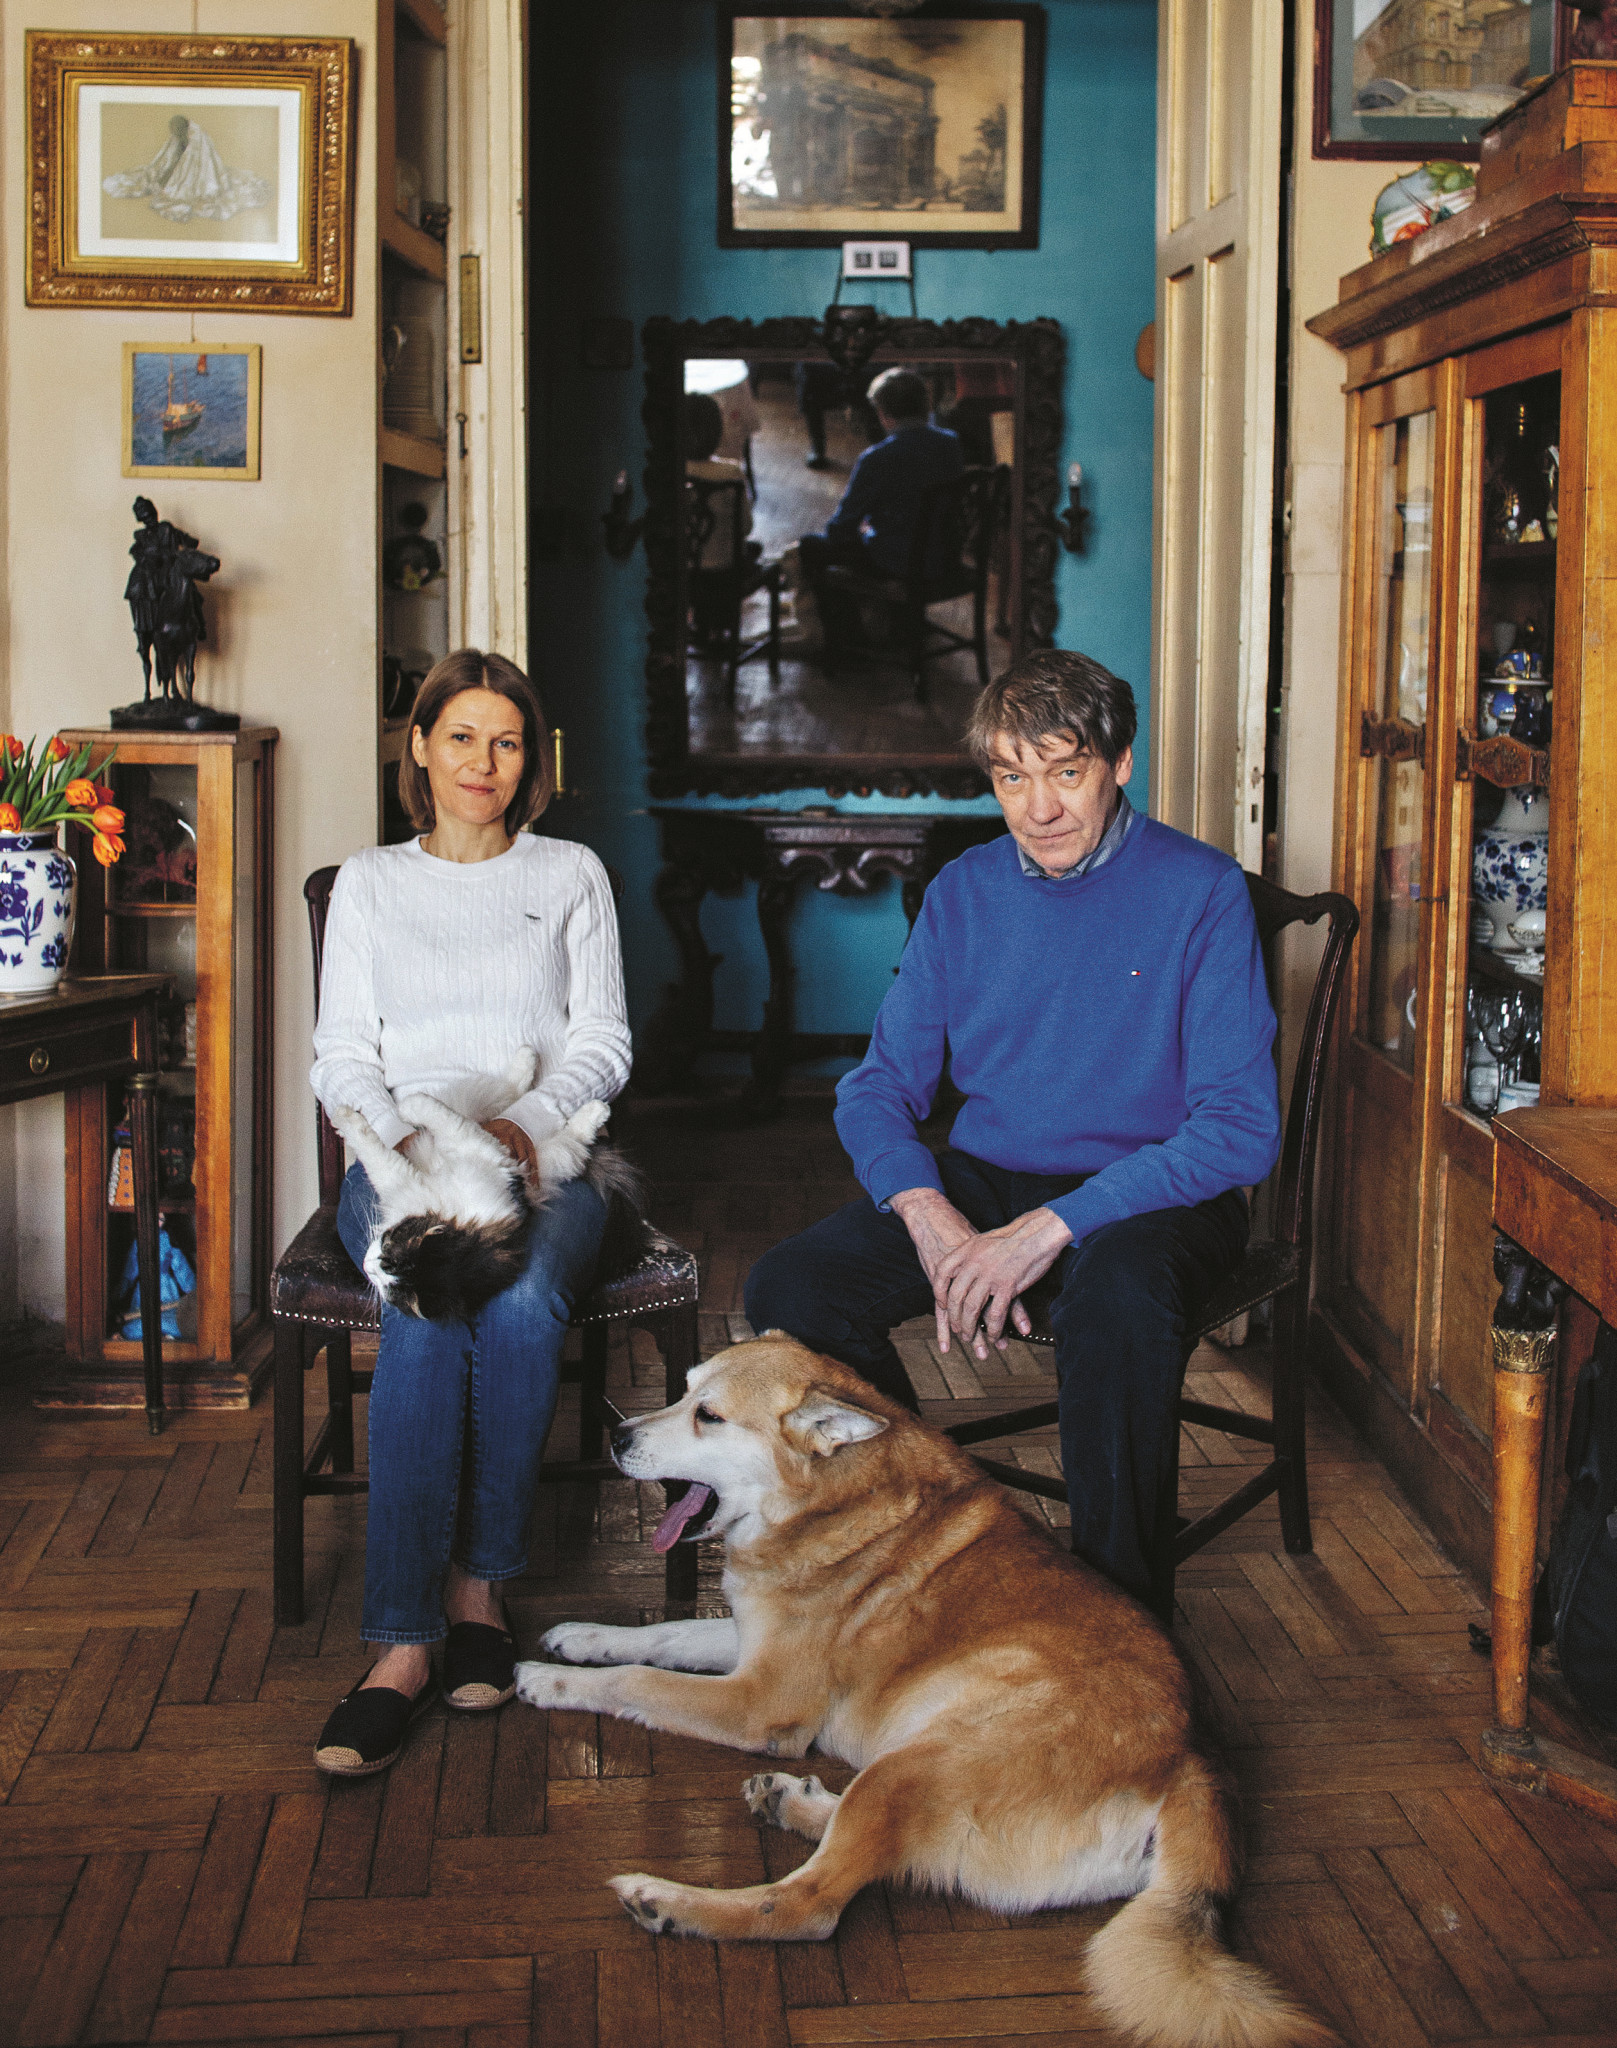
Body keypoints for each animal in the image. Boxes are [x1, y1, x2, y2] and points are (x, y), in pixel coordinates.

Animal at [330, 1047, 648, 1323]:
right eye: (384, 1279)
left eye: (386, 1257)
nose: (366, 1267)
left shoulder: (468, 1152)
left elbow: (382, 1146)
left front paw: (363, 1113)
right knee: (515, 1096)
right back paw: (529, 1059)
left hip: (548, 1154)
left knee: (568, 1131)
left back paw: (595, 1109)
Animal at [516, 1335, 1333, 2048]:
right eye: (681, 1391)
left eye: (707, 1416)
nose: (617, 1439)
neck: (827, 1501)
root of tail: (1193, 1760)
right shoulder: (750, 1648)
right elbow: (661, 1636)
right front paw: (579, 1637)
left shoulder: (760, 1701)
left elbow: (640, 1679)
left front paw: (553, 1680)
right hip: (915, 1769)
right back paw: (793, 1803)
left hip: (919, 1764)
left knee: (806, 1904)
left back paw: (668, 1901)